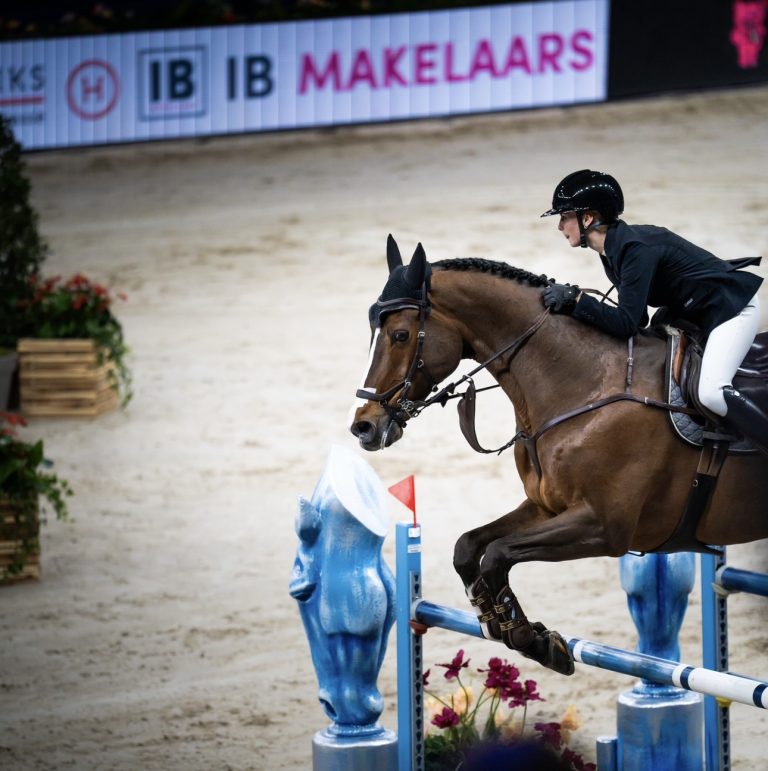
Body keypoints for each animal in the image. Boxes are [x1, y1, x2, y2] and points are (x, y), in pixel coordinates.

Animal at [350, 235, 768, 676]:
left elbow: (497, 554)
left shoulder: (605, 526)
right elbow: (468, 546)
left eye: (400, 335)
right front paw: (509, 626)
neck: (583, 383)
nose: (364, 427)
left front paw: (525, 636)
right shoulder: (547, 507)